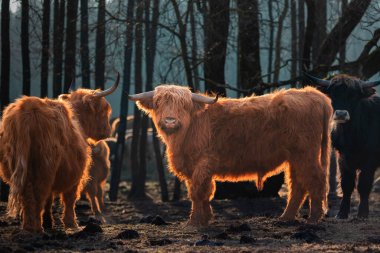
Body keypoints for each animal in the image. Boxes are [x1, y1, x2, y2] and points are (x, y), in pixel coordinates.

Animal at [0, 75, 119, 233]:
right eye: (104, 111)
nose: (107, 131)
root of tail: (28, 108)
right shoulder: (77, 173)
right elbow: (70, 198)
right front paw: (71, 223)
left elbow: (49, 200)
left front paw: (49, 222)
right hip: (44, 167)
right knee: (36, 194)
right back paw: (36, 227)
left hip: (17, 166)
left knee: (29, 196)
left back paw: (29, 226)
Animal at [128, 85, 332, 225]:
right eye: (158, 103)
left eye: (184, 105)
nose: (170, 121)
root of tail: (314, 94)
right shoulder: (193, 167)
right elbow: (203, 192)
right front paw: (206, 218)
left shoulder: (203, 163)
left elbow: (198, 191)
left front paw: (194, 221)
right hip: (295, 157)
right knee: (298, 184)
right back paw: (286, 217)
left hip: (306, 154)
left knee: (315, 180)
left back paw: (314, 218)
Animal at [306, 72, 380, 218]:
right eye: (334, 94)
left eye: (354, 95)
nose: (341, 113)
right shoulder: (343, 157)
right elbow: (347, 184)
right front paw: (342, 212)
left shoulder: (370, 160)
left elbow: (364, 184)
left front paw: (363, 212)